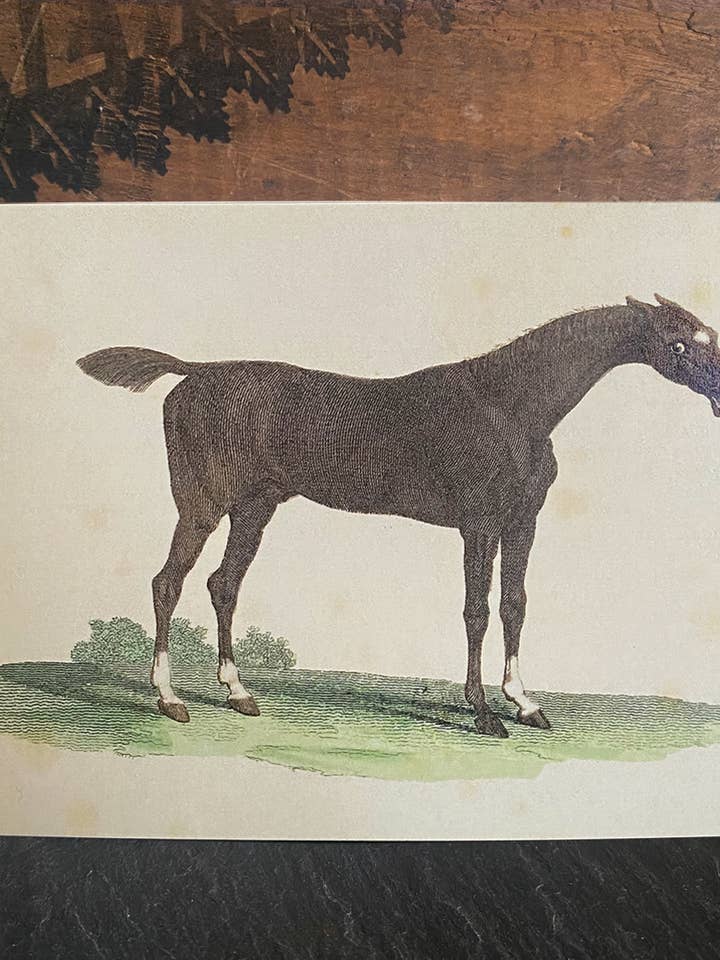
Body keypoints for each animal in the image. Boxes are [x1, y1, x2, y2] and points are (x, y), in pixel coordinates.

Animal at [78, 294, 720, 737]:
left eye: (708, 335)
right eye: (678, 344)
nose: (718, 393)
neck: (510, 406)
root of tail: (193, 370)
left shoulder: (522, 525)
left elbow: (515, 606)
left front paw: (525, 702)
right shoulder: (478, 525)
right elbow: (476, 612)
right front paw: (484, 714)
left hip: (255, 509)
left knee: (222, 585)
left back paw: (238, 693)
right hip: (203, 504)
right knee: (168, 582)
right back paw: (169, 699)